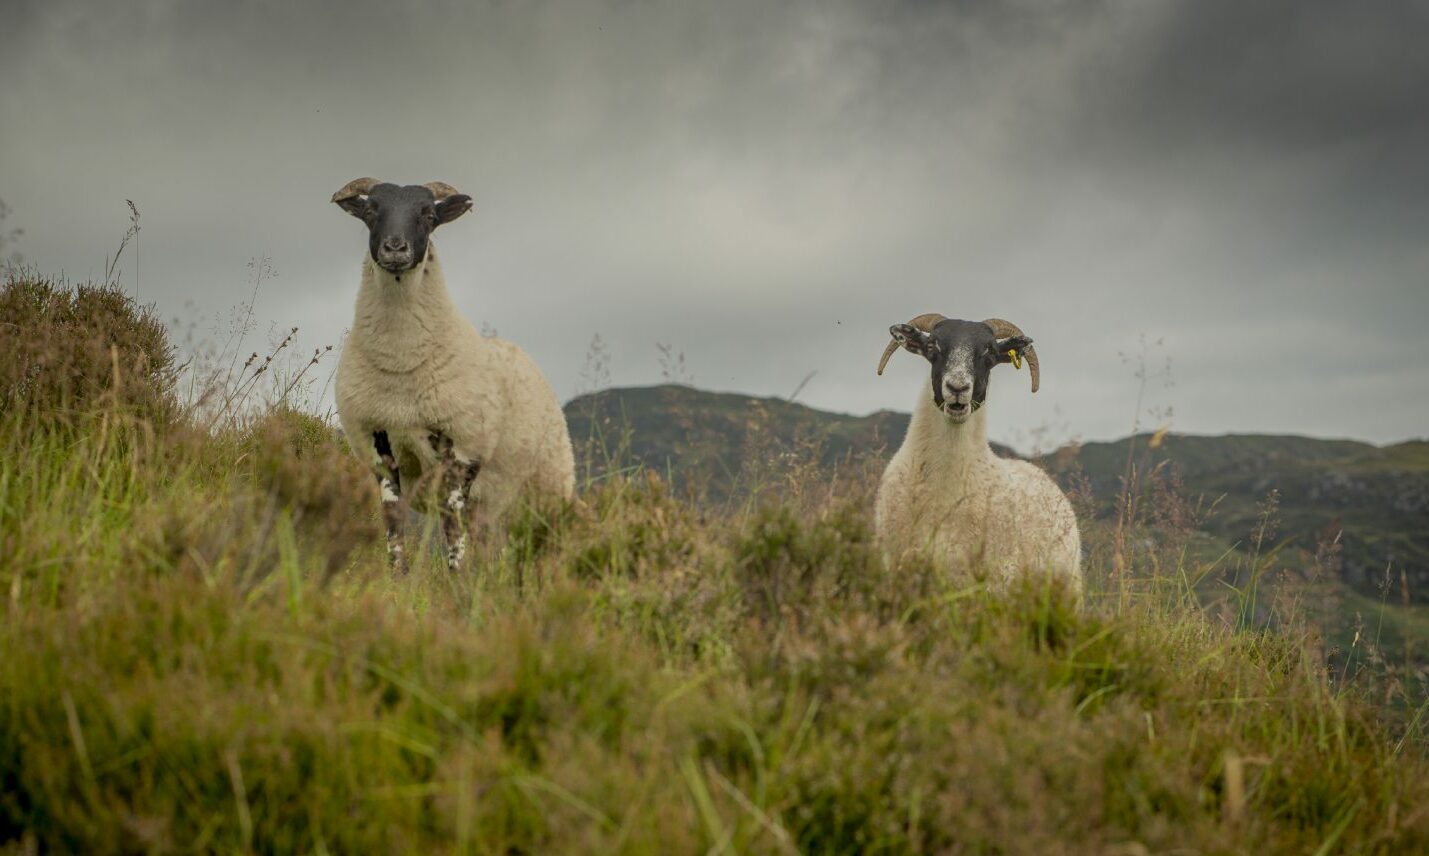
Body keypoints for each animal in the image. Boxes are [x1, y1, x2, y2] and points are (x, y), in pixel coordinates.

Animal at [331, 178, 575, 572]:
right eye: (370, 211)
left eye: (429, 215)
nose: (395, 248)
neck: (401, 364)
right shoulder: (378, 443)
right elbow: (394, 523)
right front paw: (399, 576)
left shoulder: (463, 446)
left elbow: (451, 525)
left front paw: (457, 576)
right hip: (492, 503)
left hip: (549, 484)